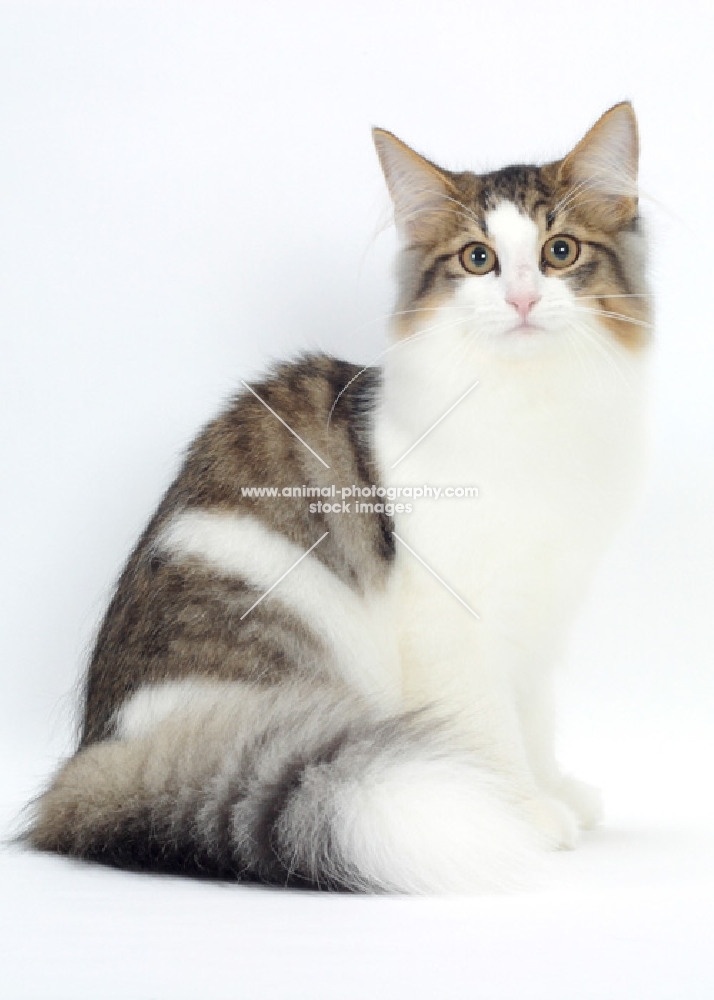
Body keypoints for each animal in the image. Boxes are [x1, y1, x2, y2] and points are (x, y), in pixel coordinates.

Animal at [25, 105, 652, 896]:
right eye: (478, 259)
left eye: (559, 251)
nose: (522, 299)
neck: (531, 407)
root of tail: (93, 762)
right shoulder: (454, 618)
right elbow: (490, 724)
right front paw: (520, 808)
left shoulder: (538, 610)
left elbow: (533, 719)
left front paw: (556, 790)